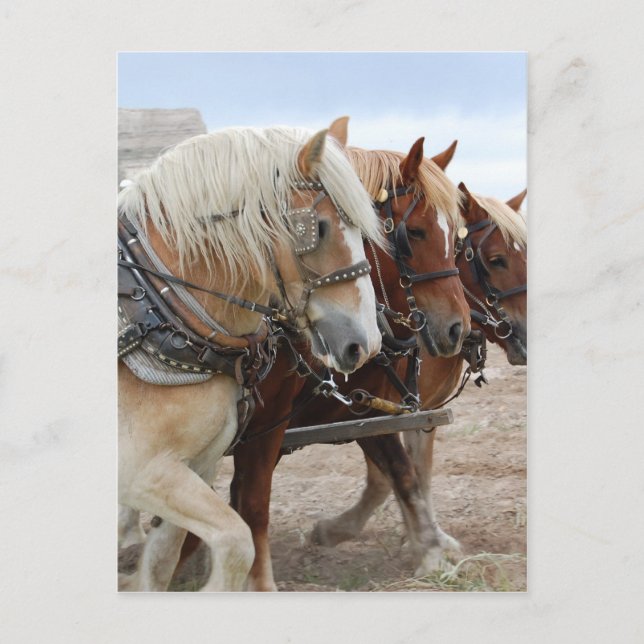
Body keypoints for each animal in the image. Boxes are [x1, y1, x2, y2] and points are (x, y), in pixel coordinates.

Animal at [117, 120, 386, 591]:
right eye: (319, 229)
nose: (365, 343)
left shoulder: (197, 466)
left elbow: (165, 562)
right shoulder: (141, 469)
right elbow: (236, 541)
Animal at [309, 174, 527, 575]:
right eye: (496, 260)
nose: (456, 329)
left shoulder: (419, 411)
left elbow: (418, 471)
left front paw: (423, 537)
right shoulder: (366, 411)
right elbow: (390, 475)